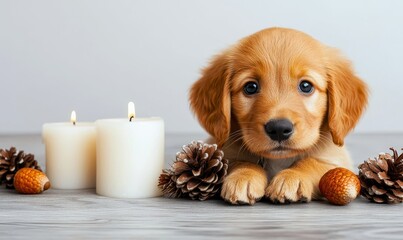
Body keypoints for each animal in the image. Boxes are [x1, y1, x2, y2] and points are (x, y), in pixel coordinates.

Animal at [189, 27, 370, 204]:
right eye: (250, 87)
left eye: (306, 86)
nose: (279, 129)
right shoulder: (222, 149)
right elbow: (240, 160)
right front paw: (243, 175)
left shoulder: (338, 159)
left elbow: (311, 162)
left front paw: (292, 177)